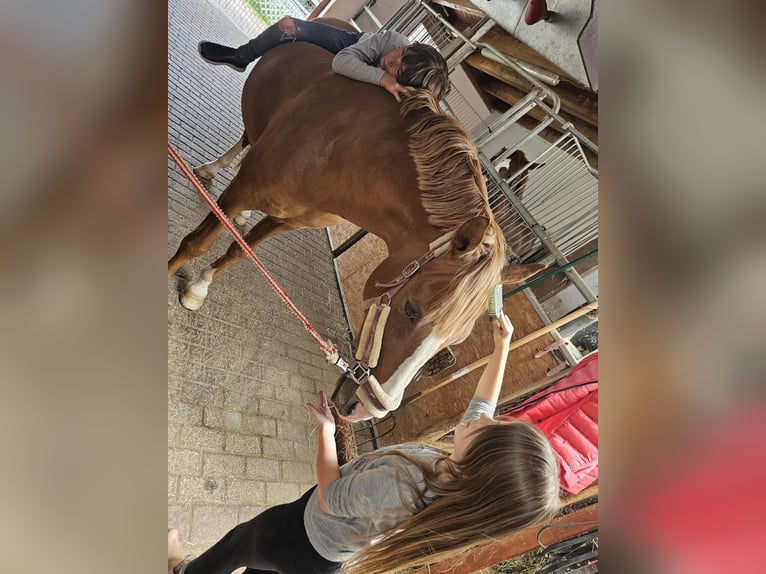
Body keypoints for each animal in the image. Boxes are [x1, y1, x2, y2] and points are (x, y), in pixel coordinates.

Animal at [168, 28, 544, 424]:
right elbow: (197, 243)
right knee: (243, 140)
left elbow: (239, 251)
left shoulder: (287, 220)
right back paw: (210, 167)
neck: (348, 152)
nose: (364, 409)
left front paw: (200, 287)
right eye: (411, 310)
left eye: (454, 340)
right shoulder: (244, 189)